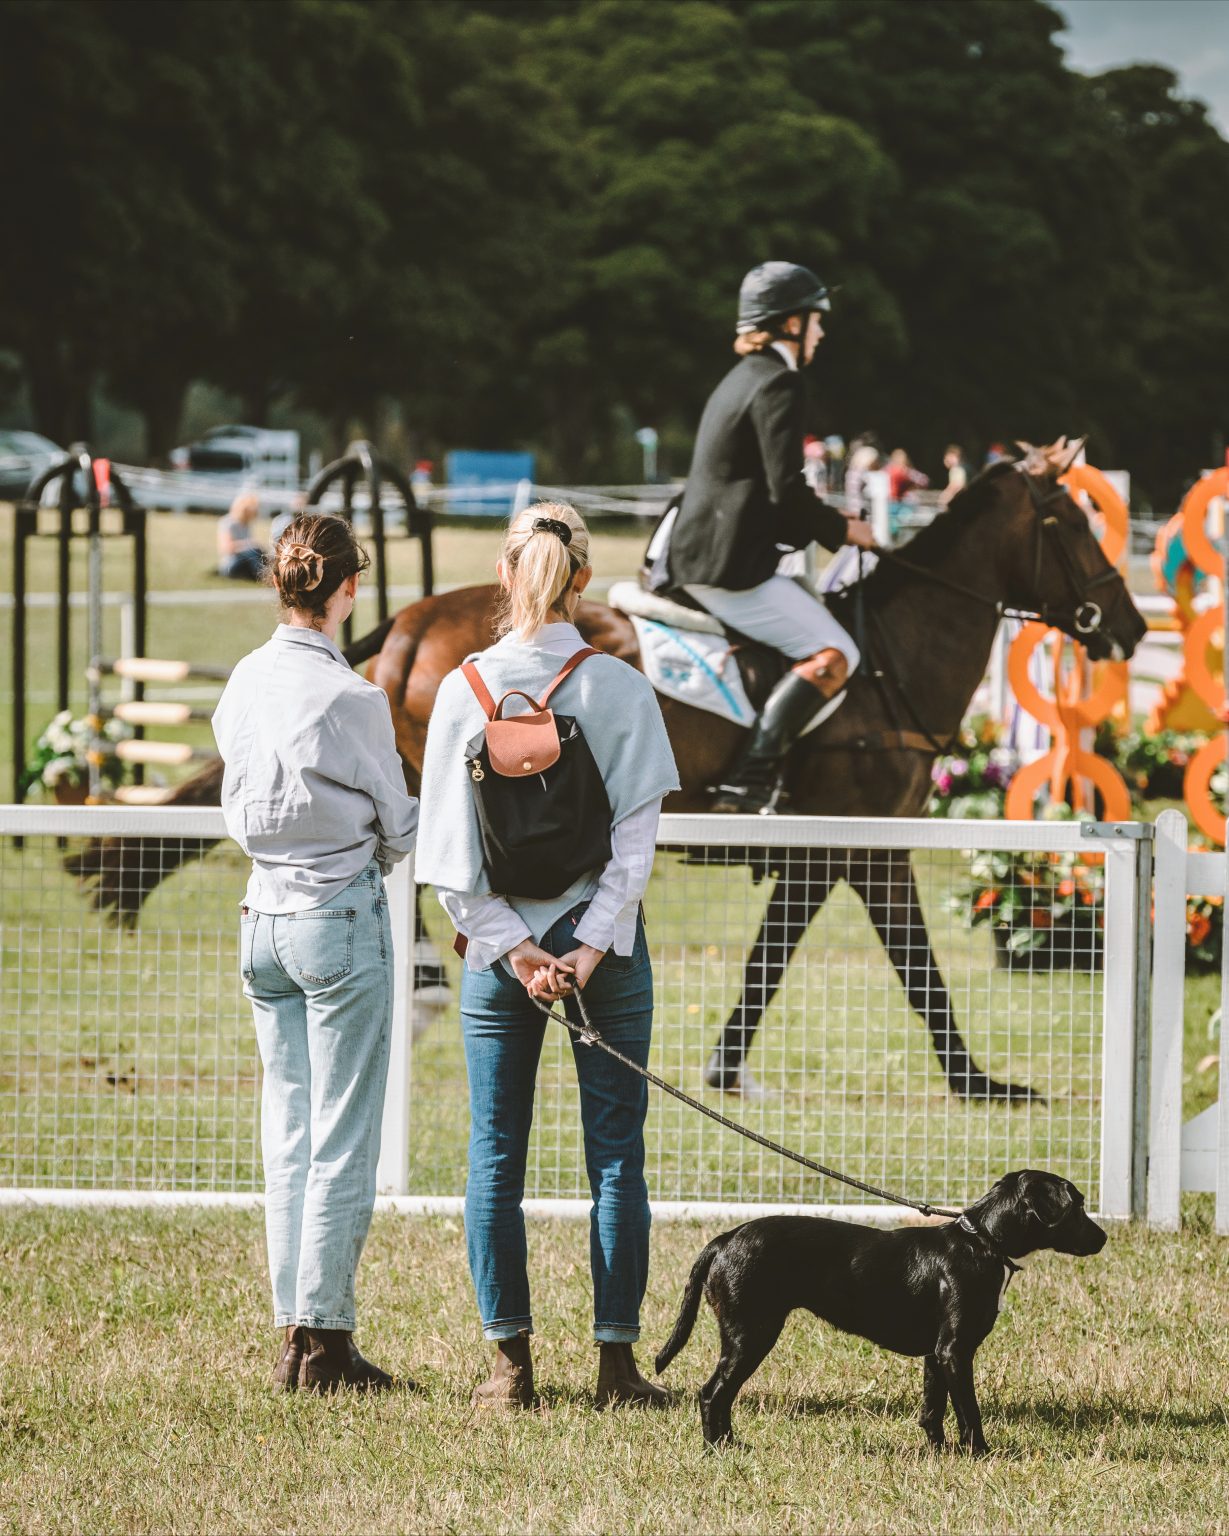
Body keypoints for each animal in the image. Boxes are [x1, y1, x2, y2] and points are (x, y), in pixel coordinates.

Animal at [66, 446, 1147, 1102]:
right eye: (1069, 524)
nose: (1130, 627)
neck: (892, 656)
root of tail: (411, 617)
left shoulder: (828, 851)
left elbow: (777, 961)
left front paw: (726, 1069)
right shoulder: (858, 845)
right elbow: (906, 968)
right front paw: (976, 1083)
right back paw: (427, 985)